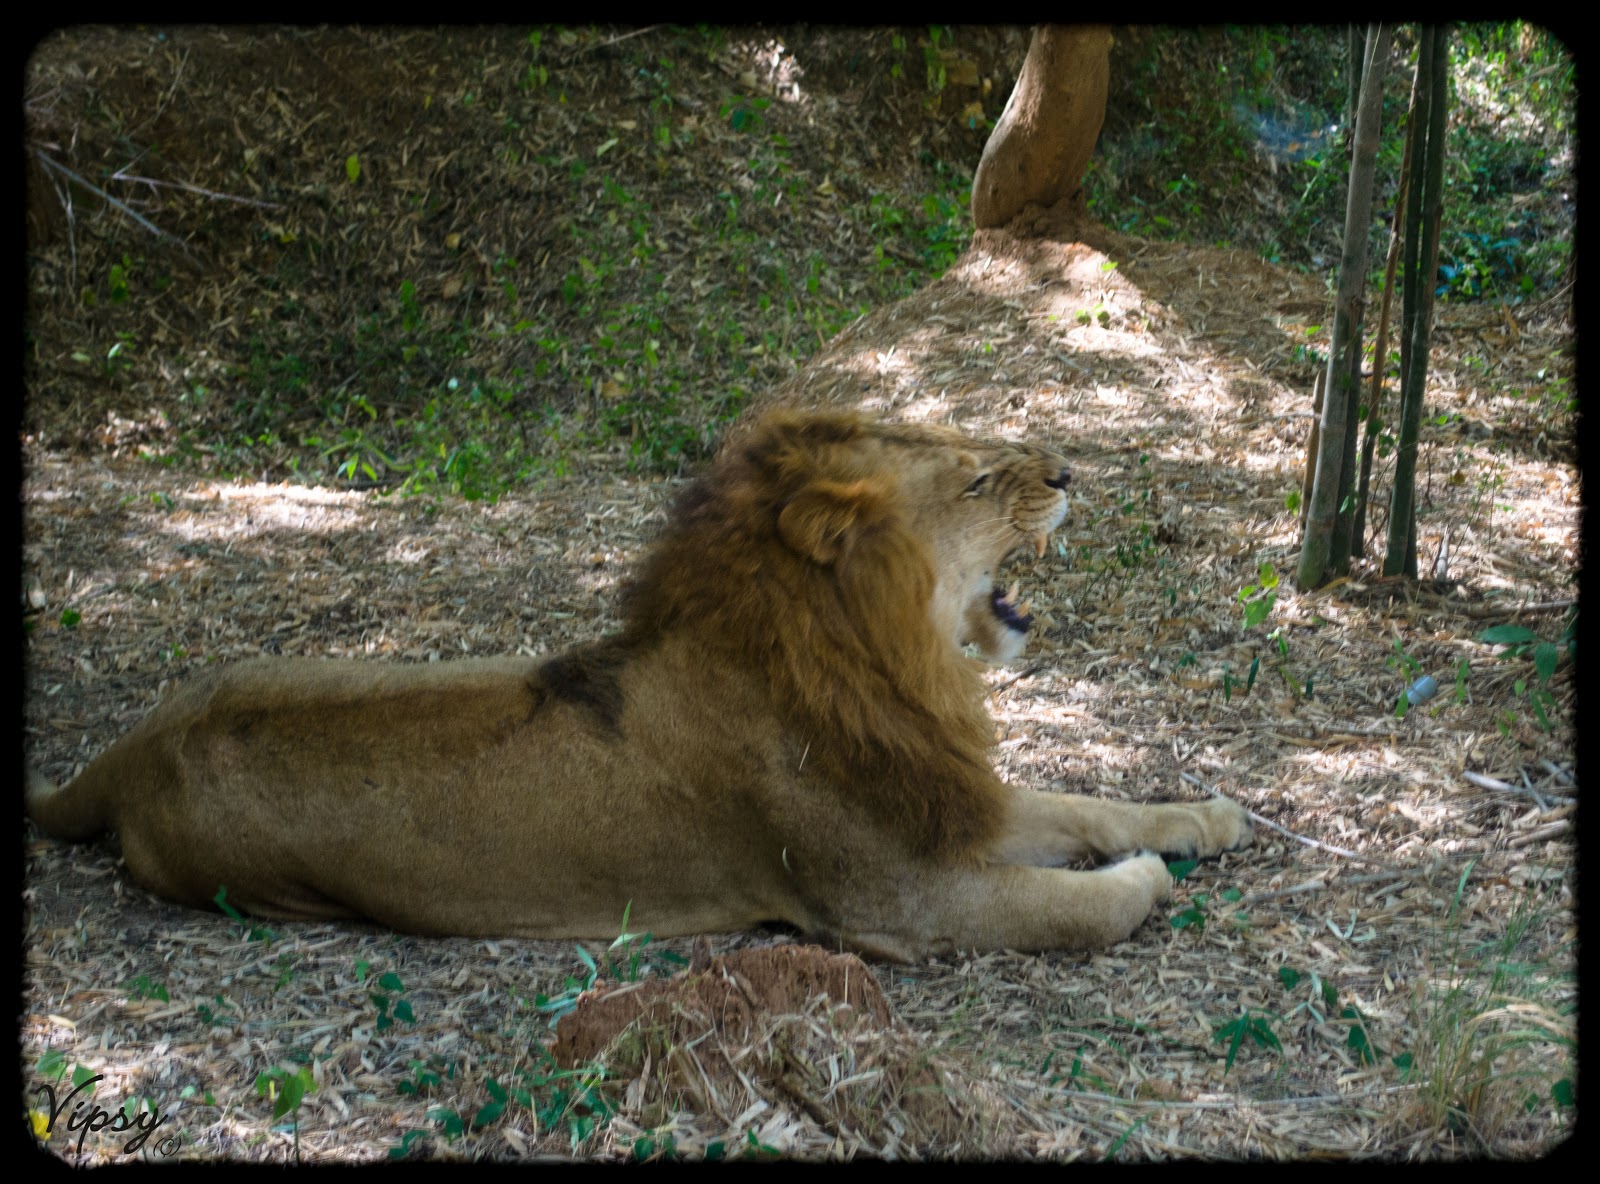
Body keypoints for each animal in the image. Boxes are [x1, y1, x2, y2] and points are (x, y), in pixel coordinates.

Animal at [25, 412, 1248, 960]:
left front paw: (1204, 815)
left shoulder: (946, 797)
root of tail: (128, 747)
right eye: (979, 479)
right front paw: (1148, 877)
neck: (883, 664)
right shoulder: (893, 901)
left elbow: (1081, 801)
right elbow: (1073, 903)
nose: (1071, 471)